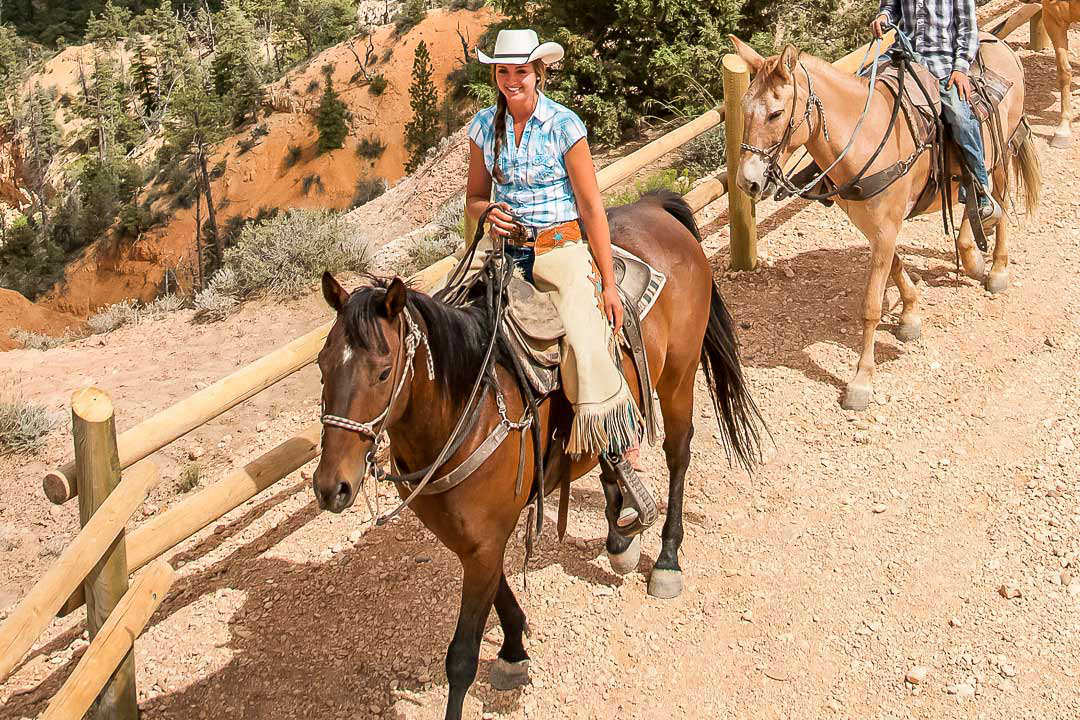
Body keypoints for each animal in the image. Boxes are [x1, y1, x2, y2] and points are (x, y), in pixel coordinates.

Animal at [313, 191, 764, 720]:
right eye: (322, 365)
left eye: (384, 372)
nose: (332, 487)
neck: (465, 410)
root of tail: (655, 206)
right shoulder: (472, 540)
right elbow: (502, 596)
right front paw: (513, 649)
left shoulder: (484, 542)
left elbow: (461, 658)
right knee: (609, 457)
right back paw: (621, 536)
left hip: (678, 377)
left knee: (678, 455)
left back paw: (667, 559)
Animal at [730, 38, 1041, 410]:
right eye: (743, 107)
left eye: (776, 114)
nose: (747, 181)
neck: (866, 136)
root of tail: (1001, 46)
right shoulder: (874, 227)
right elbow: (895, 267)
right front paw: (910, 316)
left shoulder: (886, 228)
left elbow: (871, 306)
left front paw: (861, 381)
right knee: (972, 195)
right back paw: (972, 253)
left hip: (1003, 152)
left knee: (1001, 201)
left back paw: (997, 269)